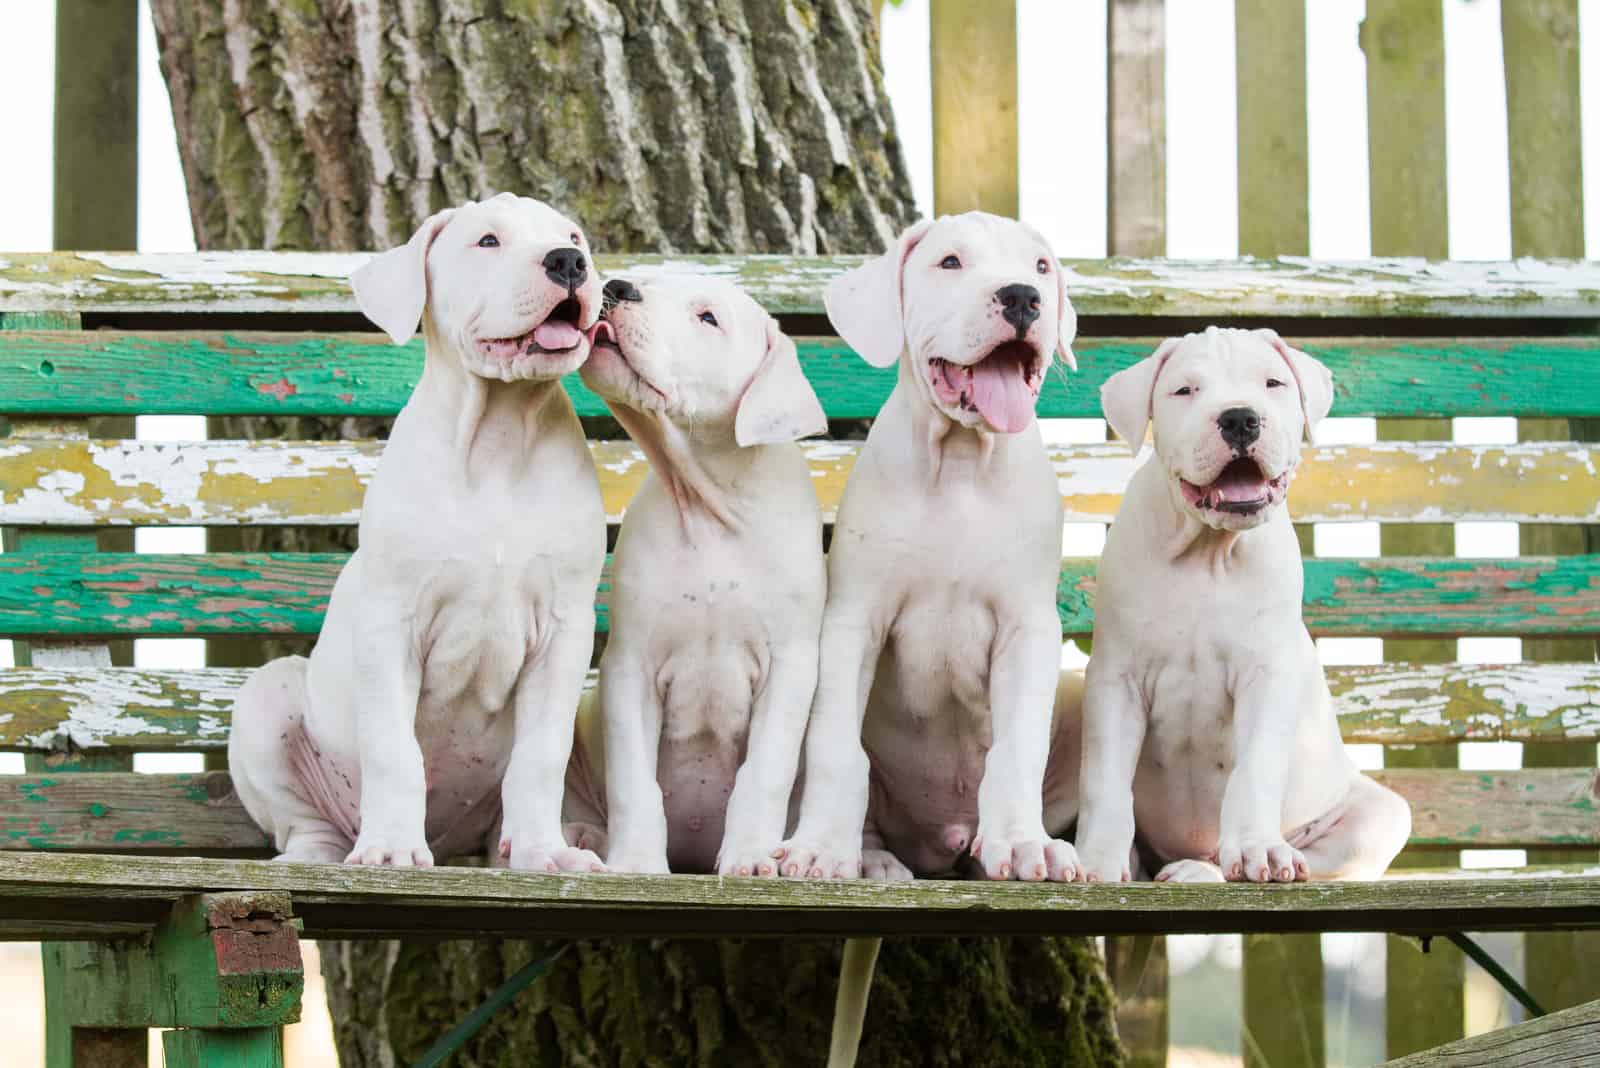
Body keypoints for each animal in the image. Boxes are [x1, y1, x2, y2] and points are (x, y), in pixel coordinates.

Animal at [232, 194, 611, 876]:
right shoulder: (391, 625)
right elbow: (394, 751)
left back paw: (537, 845)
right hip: (266, 701)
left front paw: (545, 853)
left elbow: (540, 756)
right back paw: (325, 853)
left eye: (573, 238)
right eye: (487, 241)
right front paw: (389, 849)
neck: (499, 438)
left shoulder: (563, 634)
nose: (570, 263)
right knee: (306, 824)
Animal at [560, 273, 825, 876]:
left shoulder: (791, 666)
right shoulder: (630, 666)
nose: (618, 286)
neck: (711, 513)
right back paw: (584, 836)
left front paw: (750, 856)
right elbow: (635, 781)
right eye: (646, 279)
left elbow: (764, 773)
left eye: (708, 318)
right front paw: (637, 863)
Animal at [777, 212, 1088, 888]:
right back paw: (872, 859)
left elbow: (1018, 745)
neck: (963, 465)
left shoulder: (1028, 629)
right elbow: (836, 746)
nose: (1022, 297)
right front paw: (821, 847)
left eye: (1041, 268)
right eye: (950, 263)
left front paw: (1023, 843)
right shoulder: (852, 623)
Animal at [1075, 327, 1414, 882]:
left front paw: (1260, 850)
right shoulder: (1116, 680)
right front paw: (1096, 862)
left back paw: (1207, 869)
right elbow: (1104, 781)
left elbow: (1254, 771)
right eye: (1184, 391)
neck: (1207, 553)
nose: (1239, 418)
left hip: (1380, 814)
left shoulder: (1266, 675)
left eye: (1273, 383)